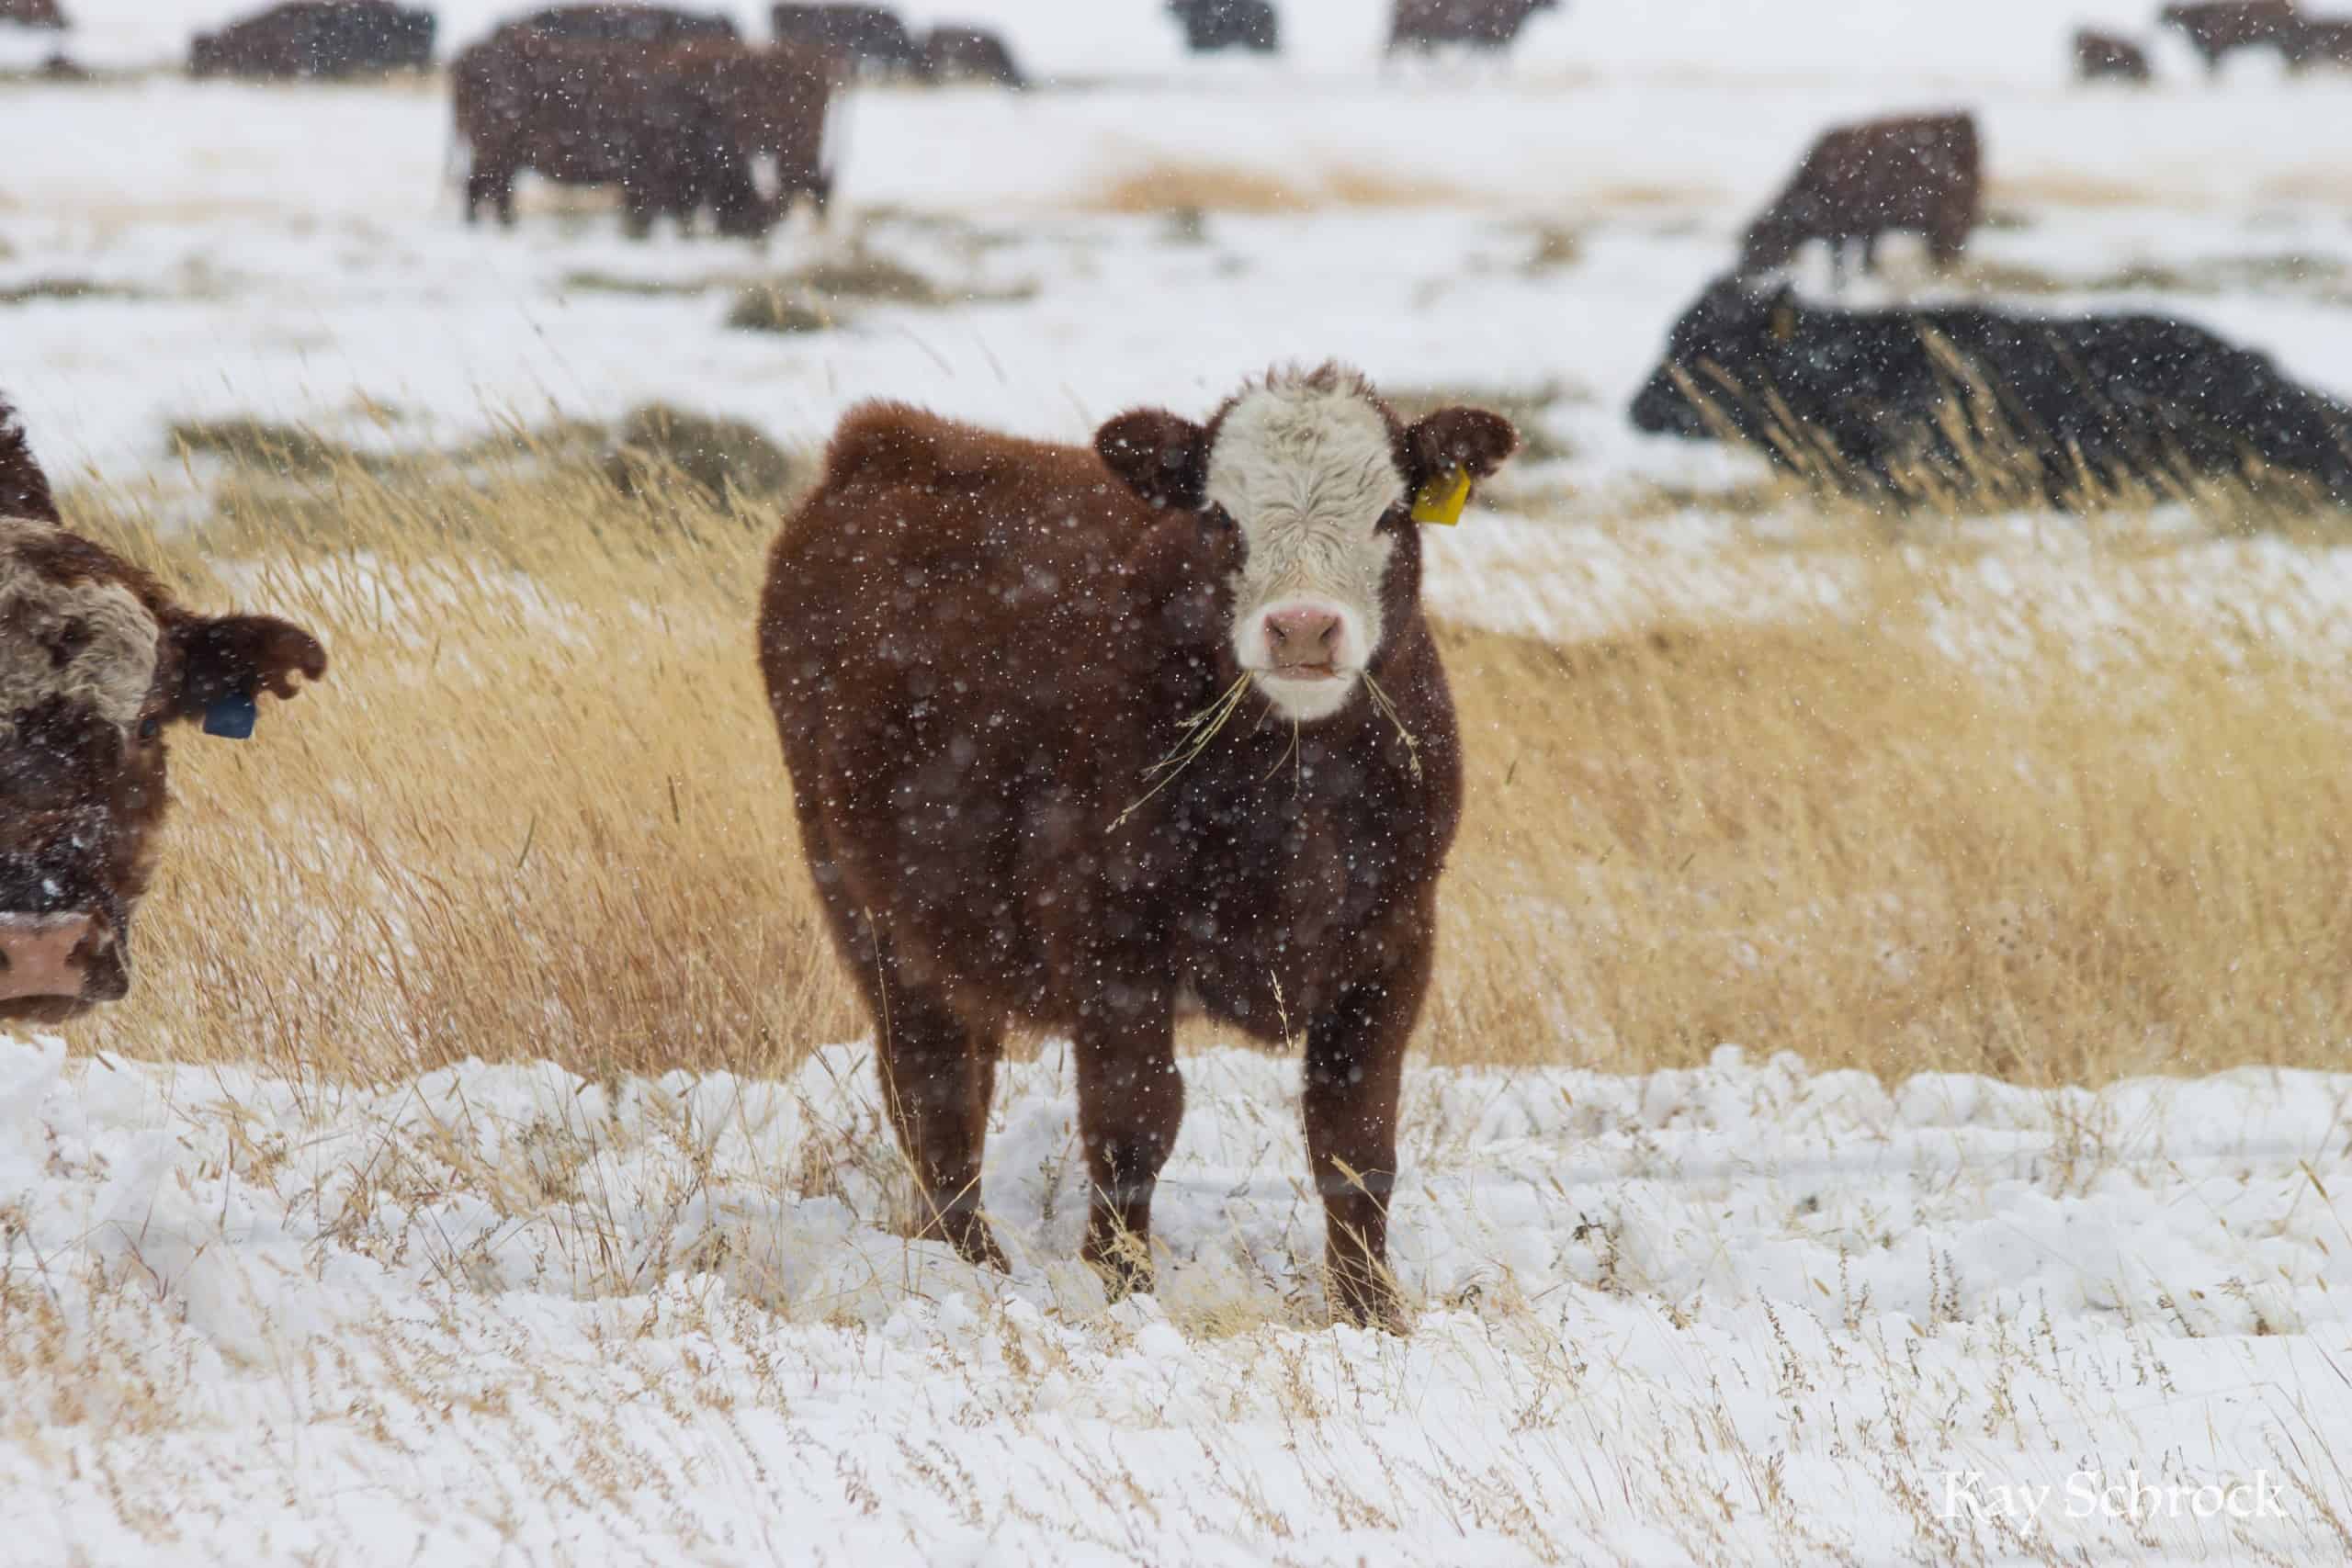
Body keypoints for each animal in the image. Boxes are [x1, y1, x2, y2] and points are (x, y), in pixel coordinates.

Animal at [758, 367, 1519, 1327]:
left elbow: (1355, 1137)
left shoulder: (1393, 942)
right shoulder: (1110, 942)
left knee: (963, 1077)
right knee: (928, 1091)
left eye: (1390, 512)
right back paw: (970, 1265)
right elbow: (1134, 1122)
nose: (1304, 628)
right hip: (864, 905)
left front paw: (1370, 1308)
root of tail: (884, 442)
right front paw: (1124, 1289)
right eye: (1221, 516)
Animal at [1740, 111, 1980, 283]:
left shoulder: (1848, 226)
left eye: (1761, 242)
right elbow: (1864, 255)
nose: (1743, 274)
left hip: (1951, 217)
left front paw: (1841, 286)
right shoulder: (1862, 227)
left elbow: (1842, 260)